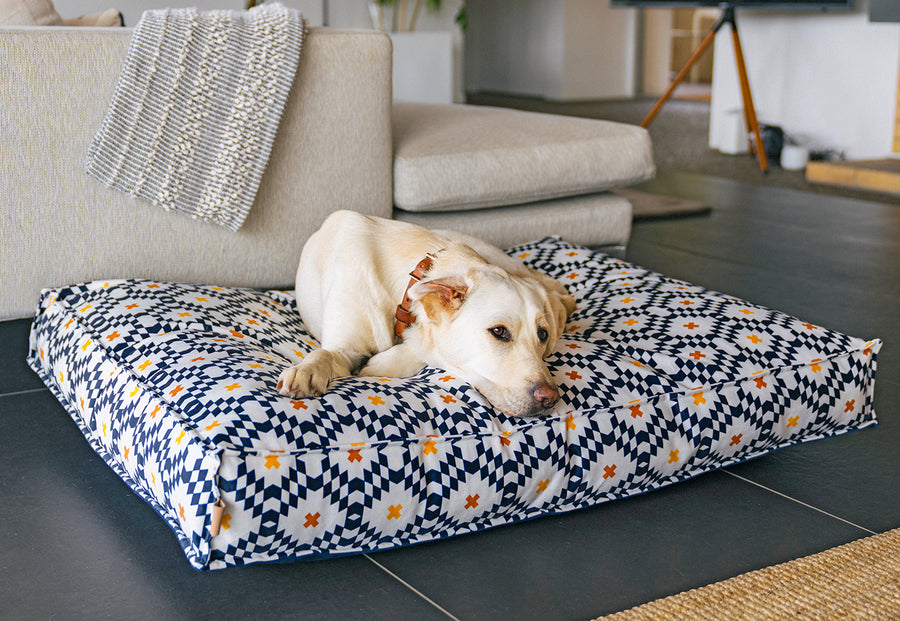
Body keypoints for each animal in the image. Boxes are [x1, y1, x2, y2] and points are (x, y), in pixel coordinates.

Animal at [276, 211, 576, 418]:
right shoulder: (343, 347)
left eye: (542, 334)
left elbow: (422, 346)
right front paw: (307, 369)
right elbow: (325, 354)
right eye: (499, 331)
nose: (550, 397)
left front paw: (381, 364)